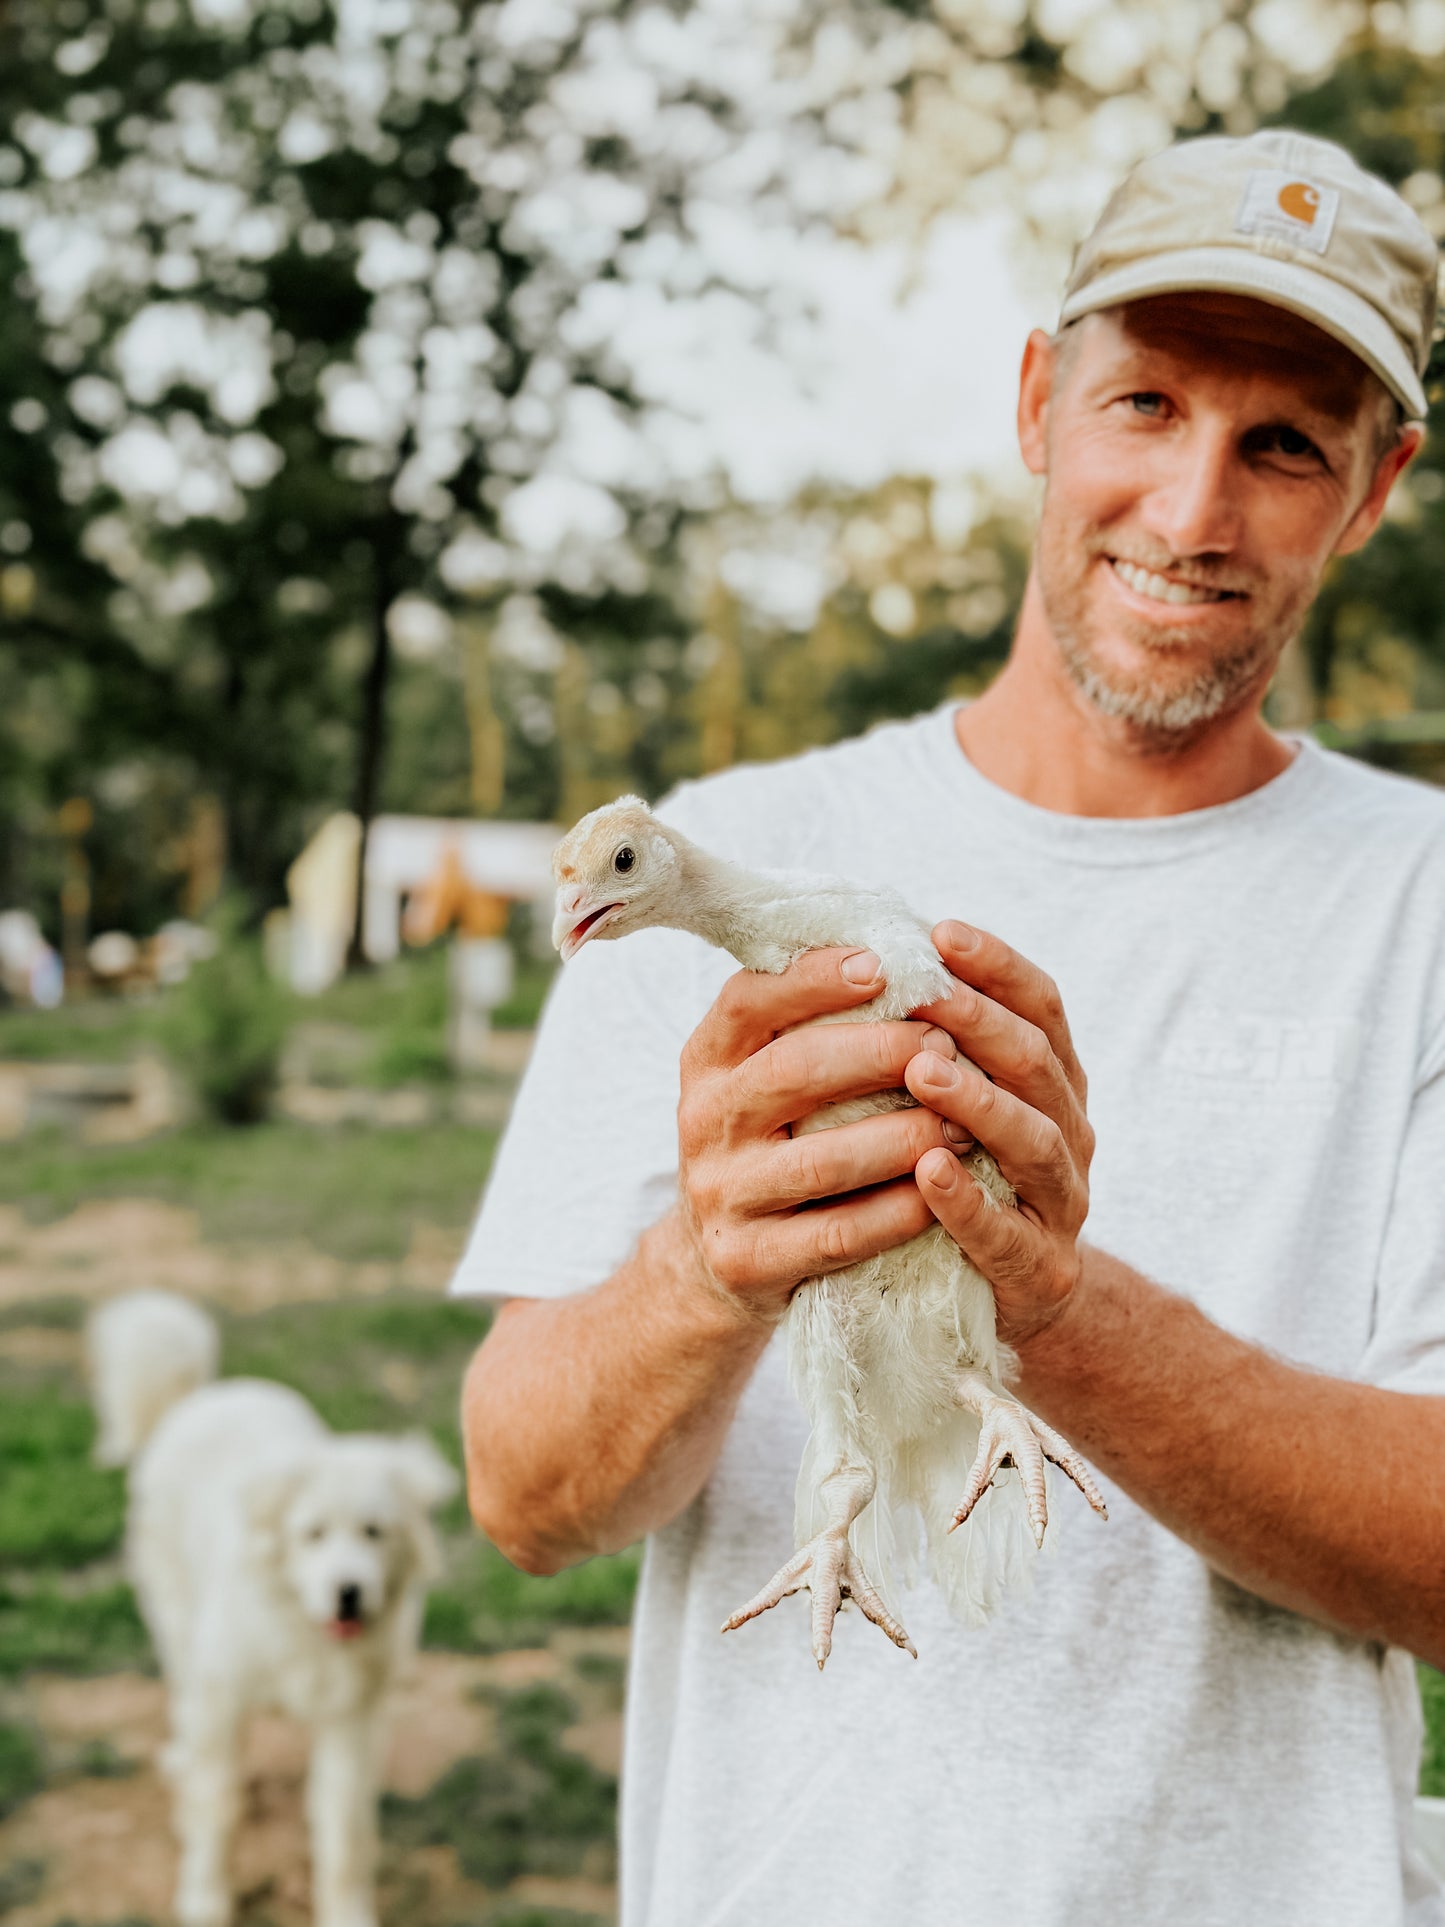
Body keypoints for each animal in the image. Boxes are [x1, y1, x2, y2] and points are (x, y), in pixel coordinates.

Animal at [89, 1294, 458, 1927]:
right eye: (312, 1534)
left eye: (374, 1532)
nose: (349, 1591)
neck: (304, 1632)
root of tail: (204, 1393)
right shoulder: (222, 1701)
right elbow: (219, 1807)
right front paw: (206, 1899)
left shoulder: (350, 1720)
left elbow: (344, 1834)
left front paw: (347, 1915)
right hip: (179, 1626)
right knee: (184, 1700)